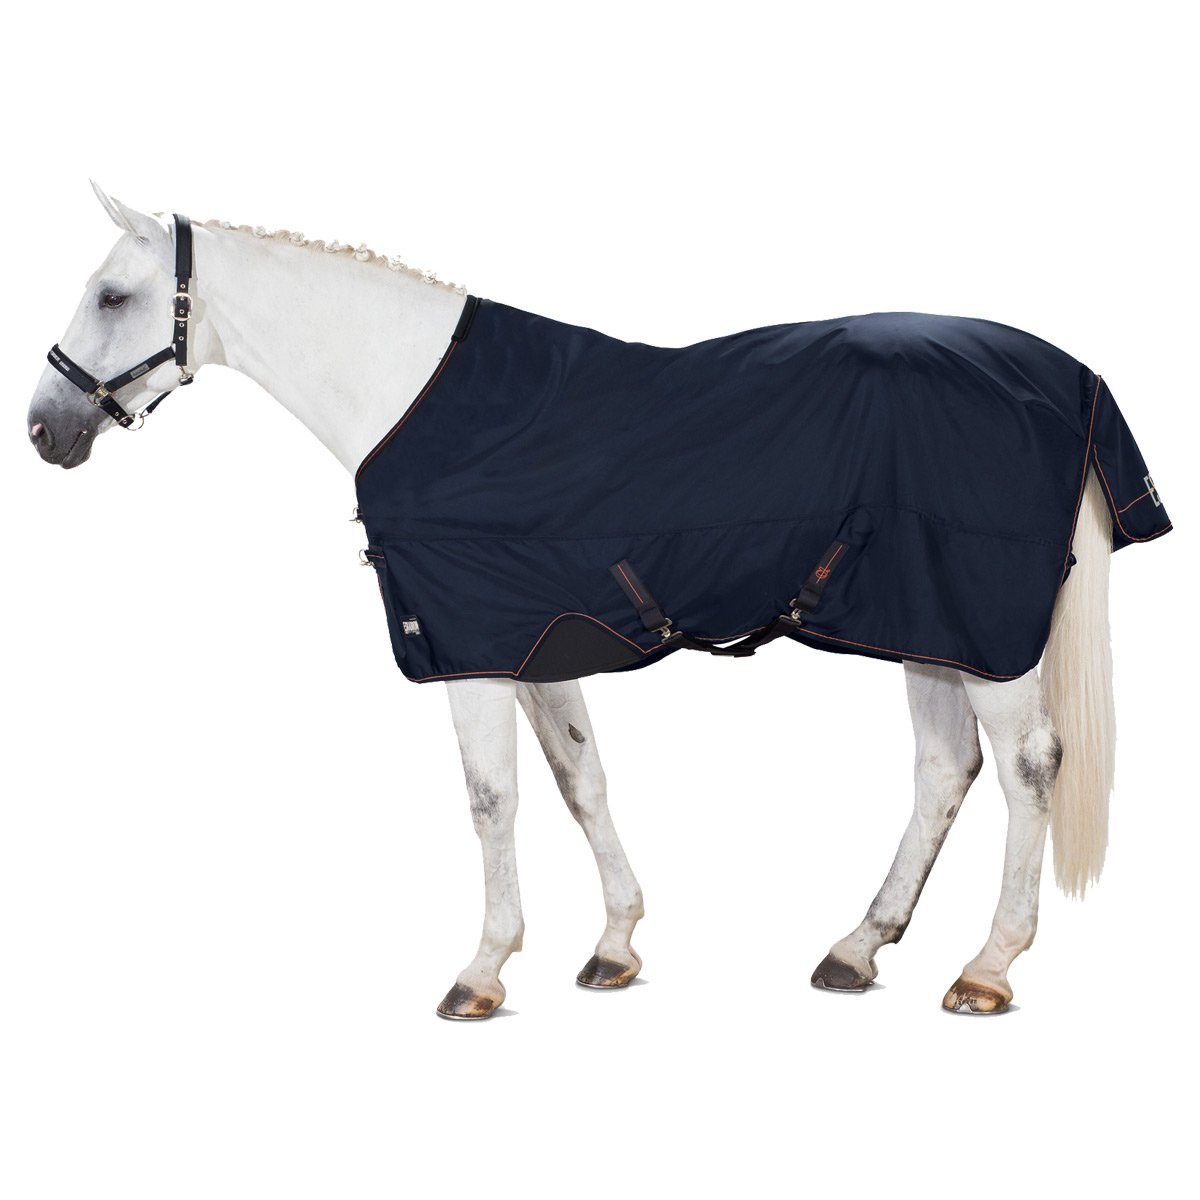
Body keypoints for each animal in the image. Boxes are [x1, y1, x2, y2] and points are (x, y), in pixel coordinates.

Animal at [27, 184, 1171, 1019]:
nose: (45, 429)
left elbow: (493, 800)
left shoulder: (475, 648)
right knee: (943, 772)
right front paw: (615, 944)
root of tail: (1068, 378)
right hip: (930, 627)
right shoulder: (540, 643)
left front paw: (482, 970)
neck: (419, 398)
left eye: (114, 297)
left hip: (985, 633)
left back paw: (988, 968)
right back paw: (856, 948)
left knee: (1029, 769)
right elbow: (581, 781)